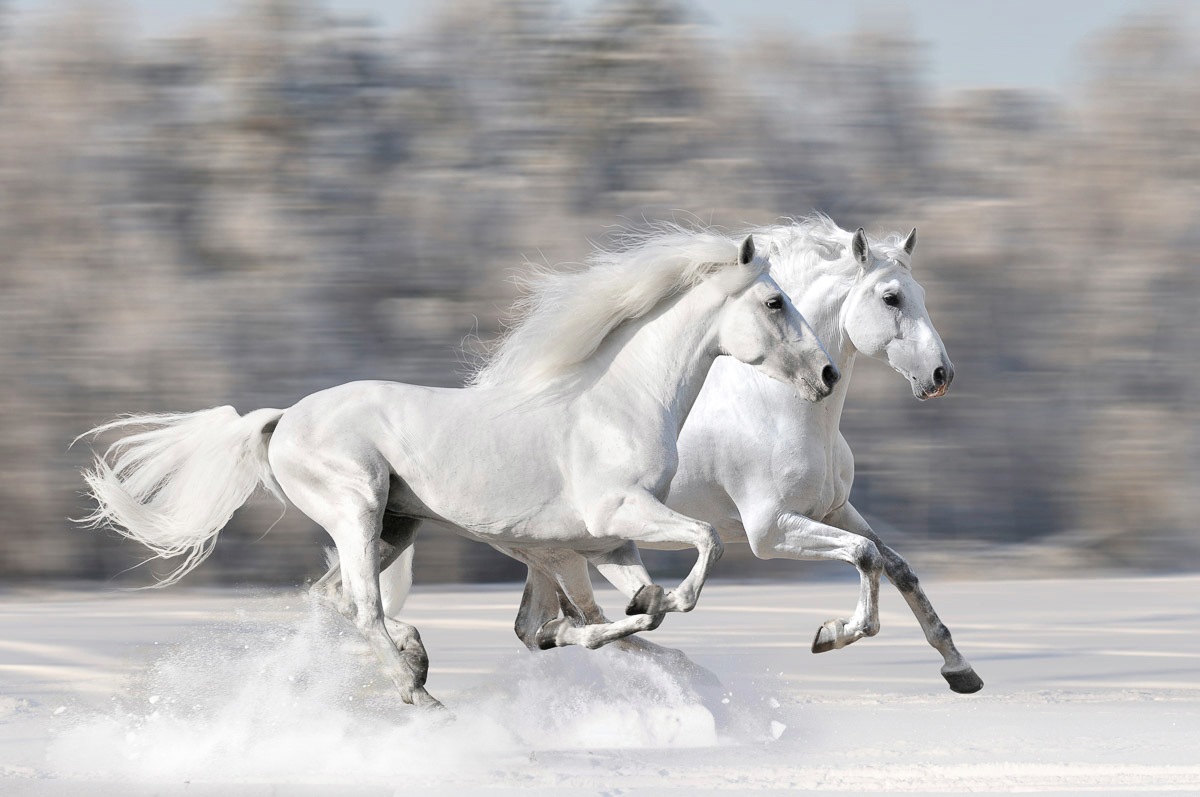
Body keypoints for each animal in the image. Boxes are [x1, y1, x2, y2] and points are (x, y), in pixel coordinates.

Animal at [79, 230, 840, 710]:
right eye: (774, 302)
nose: (829, 373)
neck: (617, 402)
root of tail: (282, 419)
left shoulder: (606, 543)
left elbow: (611, 612)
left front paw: (641, 614)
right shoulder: (613, 520)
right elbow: (696, 552)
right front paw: (666, 604)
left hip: (397, 525)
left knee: (335, 600)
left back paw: (416, 657)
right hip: (357, 509)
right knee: (360, 607)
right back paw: (417, 687)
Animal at [367, 214, 984, 696]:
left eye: (921, 296)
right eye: (891, 298)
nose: (940, 376)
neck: (781, 406)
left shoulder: (833, 509)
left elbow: (895, 565)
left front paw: (960, 669)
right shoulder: (770, 531)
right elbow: (864, 556)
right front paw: (832, 634)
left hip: (549, 552)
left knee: (538, 626)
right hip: (555, 549)